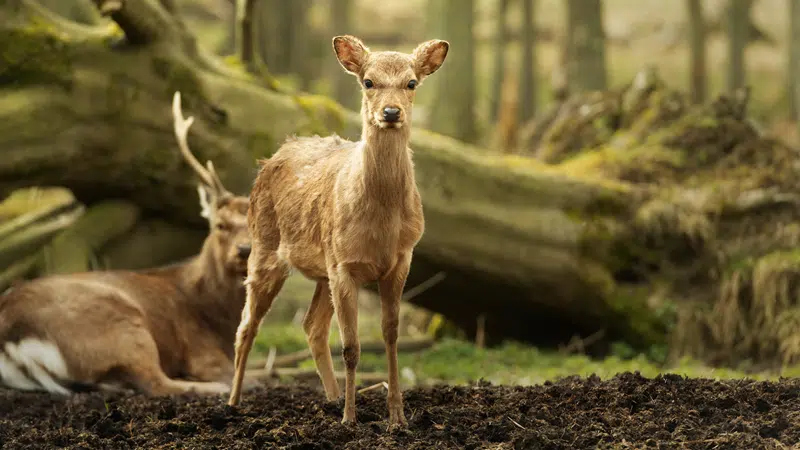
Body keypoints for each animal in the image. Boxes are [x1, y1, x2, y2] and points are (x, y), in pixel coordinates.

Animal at [0, 92, 252, 397]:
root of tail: (11, 337)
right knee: (155, 381)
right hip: (120, 323)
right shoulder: (201, 351)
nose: (245, 250)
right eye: (220, 225)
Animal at [226, 35, 449, 428]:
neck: (381, 223)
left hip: (320, 270)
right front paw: (350, 420)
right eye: (368, 81)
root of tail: (273, 155)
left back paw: (330, 399)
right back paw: (234, 404)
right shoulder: (343, 264)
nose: (391, 112)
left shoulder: (401, 260)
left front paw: (397, 417)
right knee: (246, 327)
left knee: (312, 327)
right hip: (265, 245)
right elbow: (351, 346)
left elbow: (390, 337)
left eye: (411, 83)